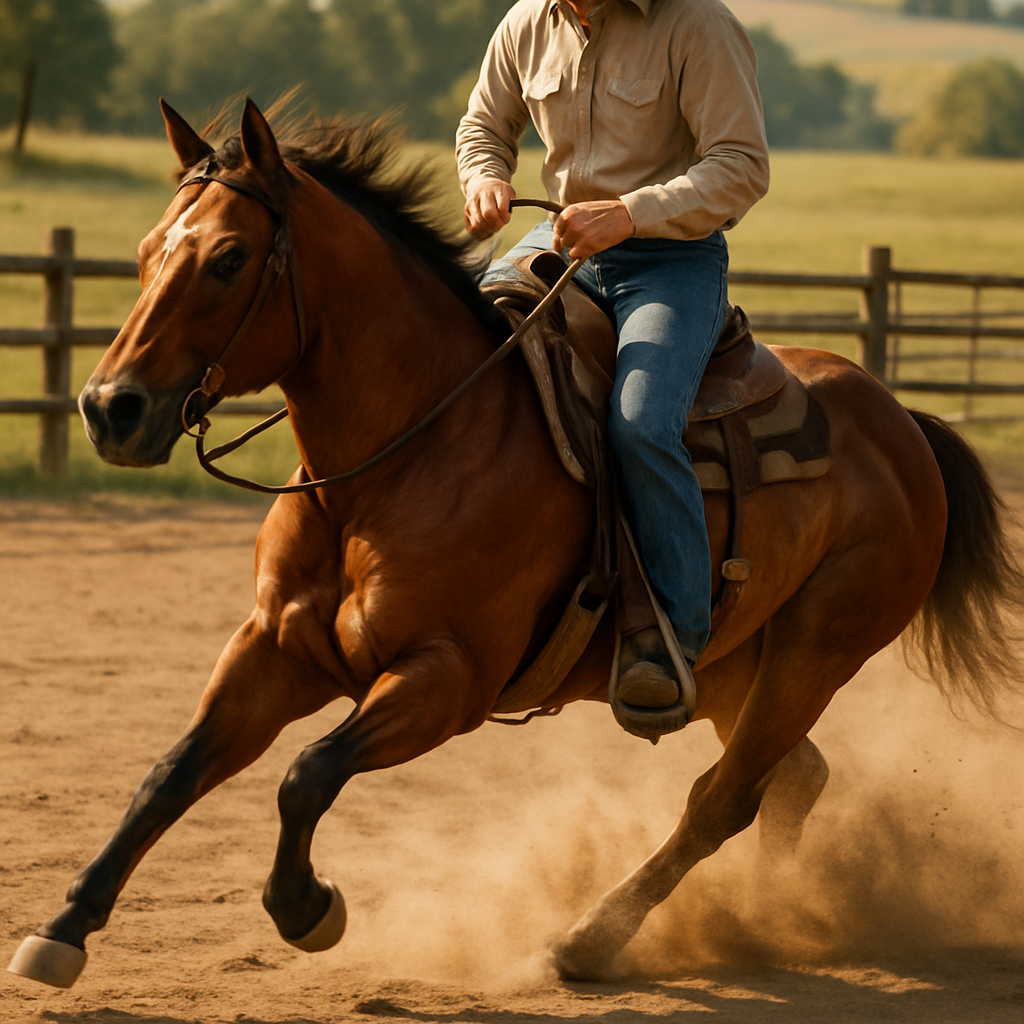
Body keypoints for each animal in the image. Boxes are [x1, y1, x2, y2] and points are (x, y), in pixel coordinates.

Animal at [8, 99, 1023, 989]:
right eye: (148, 252)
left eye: (226, 257)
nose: (109, 408)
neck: (397, 460)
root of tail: (901, 421)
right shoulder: (273, 650)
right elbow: (171, 773)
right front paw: (62, 929)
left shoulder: (446, 679)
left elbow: (307, 774)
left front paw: (308, 909)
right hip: (741, 664)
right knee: (793, 780)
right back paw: (770, 916)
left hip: (818, 650)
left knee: (725, 798)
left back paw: (590, 938)